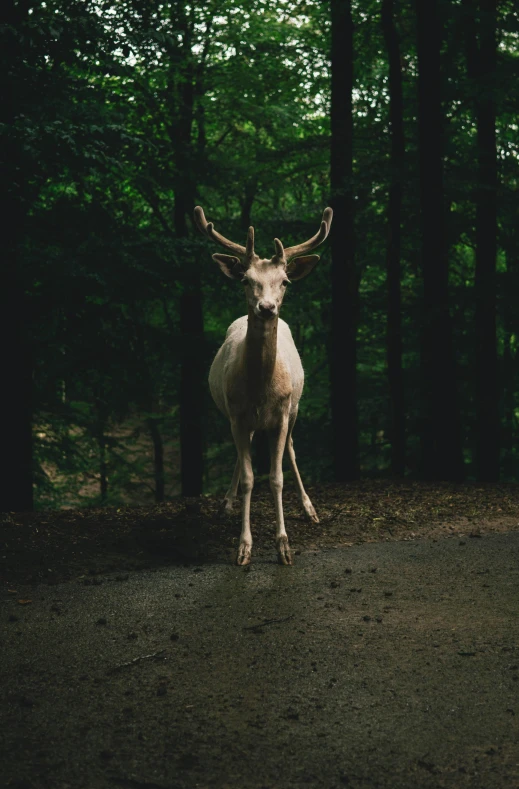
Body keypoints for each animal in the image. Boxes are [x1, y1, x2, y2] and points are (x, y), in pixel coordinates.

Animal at [195, 206, 334, 564]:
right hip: (237, 417)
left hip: (295, 408)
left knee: (292, 450)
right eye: (246, 280)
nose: (267, 308)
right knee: (242, 453)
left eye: (284, 281)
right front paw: (244, 547)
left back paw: (309, 508)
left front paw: (283, 545)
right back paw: (226, 504)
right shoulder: (237, 415)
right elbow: (249, 478)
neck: (260, 390)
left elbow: (276, 477)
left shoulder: (282, 414)